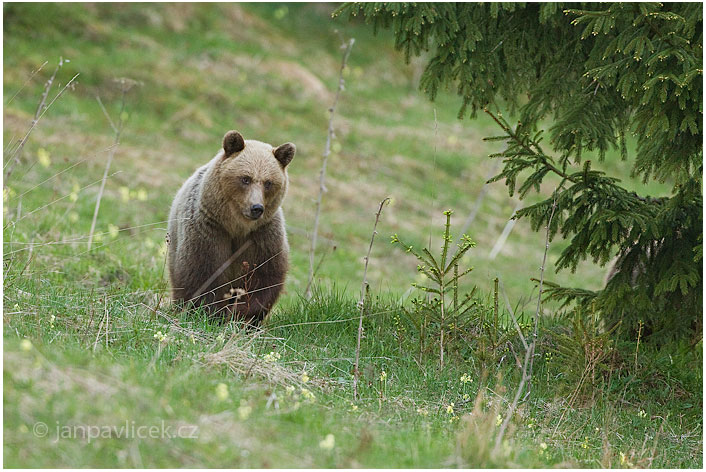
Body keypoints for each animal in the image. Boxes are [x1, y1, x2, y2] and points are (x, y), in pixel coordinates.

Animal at [168, 130, 294, 324]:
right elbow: (203, 275)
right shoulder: (209, 229)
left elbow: (264, 278)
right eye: (245, 178)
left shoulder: (262, 236)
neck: (236, 226)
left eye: (268, 182)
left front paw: (241, 314)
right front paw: (212, 313)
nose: (256, 208)